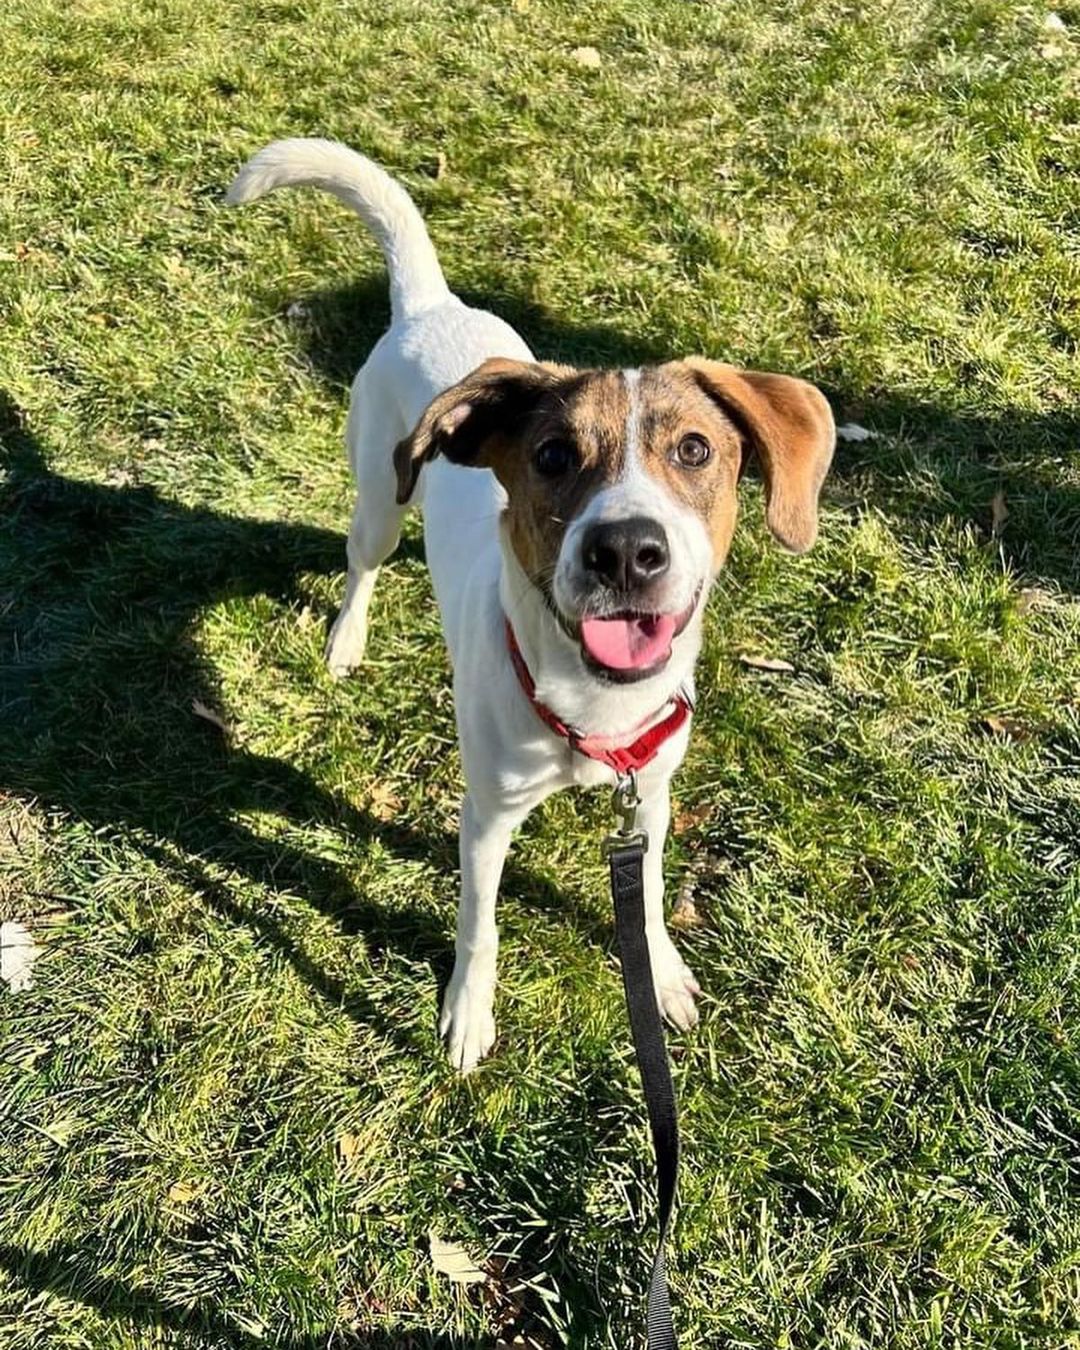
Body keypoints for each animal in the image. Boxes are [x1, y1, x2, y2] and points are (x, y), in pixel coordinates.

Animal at [228, 142, 837, 1069]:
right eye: (551, 455)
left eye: (696, 451)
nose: (625, 550)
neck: (594, 708)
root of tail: (431, 305)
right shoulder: (485, 817)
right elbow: (479, 927)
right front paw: (467, 1015)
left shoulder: (650, 799)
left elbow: (645, 897)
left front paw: (660, 974)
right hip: (377, 503)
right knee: (361, 563)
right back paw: (346, 640)